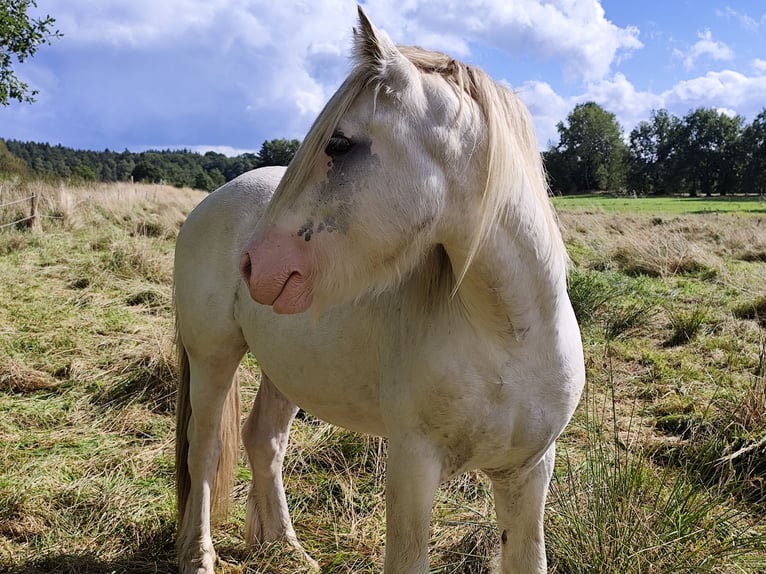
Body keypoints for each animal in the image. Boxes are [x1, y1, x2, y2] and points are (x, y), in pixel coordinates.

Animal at [174, 7, 584, 574]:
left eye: (339, 143)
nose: (254, 266)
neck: (510, 332)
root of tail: (211, 200)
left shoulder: (529, 471)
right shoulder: (412, 467)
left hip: (287, 366)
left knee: (265, 440)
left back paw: (286, 547)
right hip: (213, 355)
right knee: (206, 449)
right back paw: (199, 555)